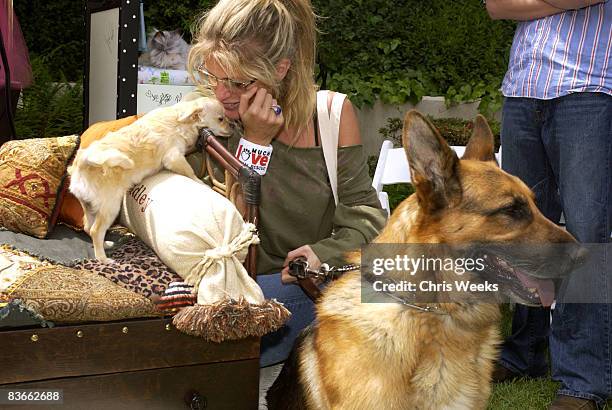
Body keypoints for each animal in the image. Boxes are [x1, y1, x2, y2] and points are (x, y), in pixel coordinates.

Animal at [68, 97, 232, 262]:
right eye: (221, 119)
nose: (232, 128)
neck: (181, 120)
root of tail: (82, 163)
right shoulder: (174, 157)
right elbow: (190, 172)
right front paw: (200, 182)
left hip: (89, 206)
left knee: (88, 227)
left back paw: (105, 244)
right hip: (111, 207)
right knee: (95, 230)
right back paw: (103, 258)